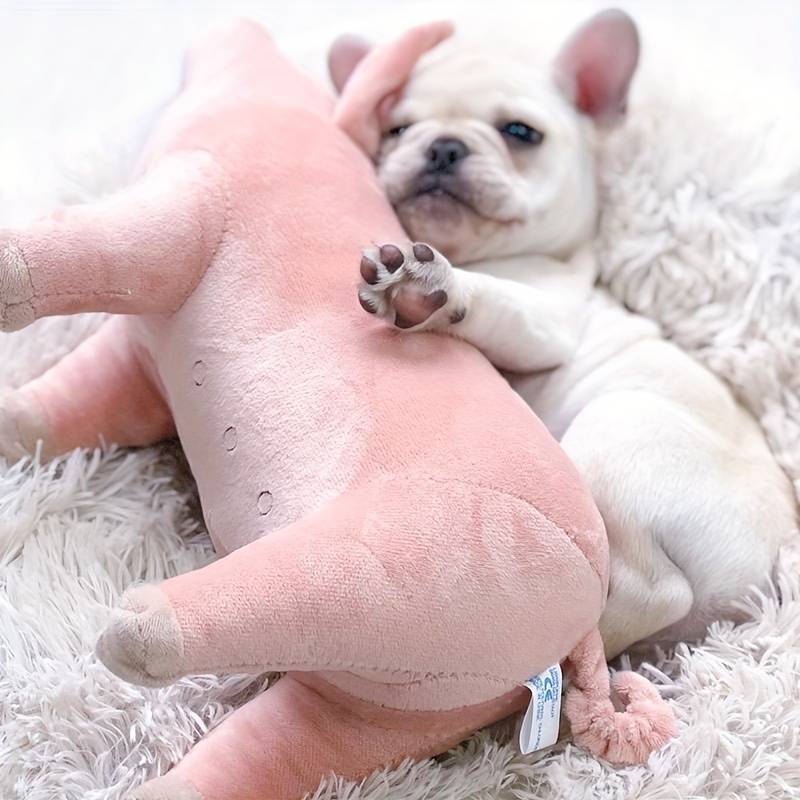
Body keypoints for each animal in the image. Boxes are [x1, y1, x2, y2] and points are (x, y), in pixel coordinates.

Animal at [330, 9, 792, 656]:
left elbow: (488, 300)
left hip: (618, 431)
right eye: (396, 130)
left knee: (651, 592)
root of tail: (757, 593)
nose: (444, 145)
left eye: (520, 132)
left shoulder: (546, 319)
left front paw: (428, 286)